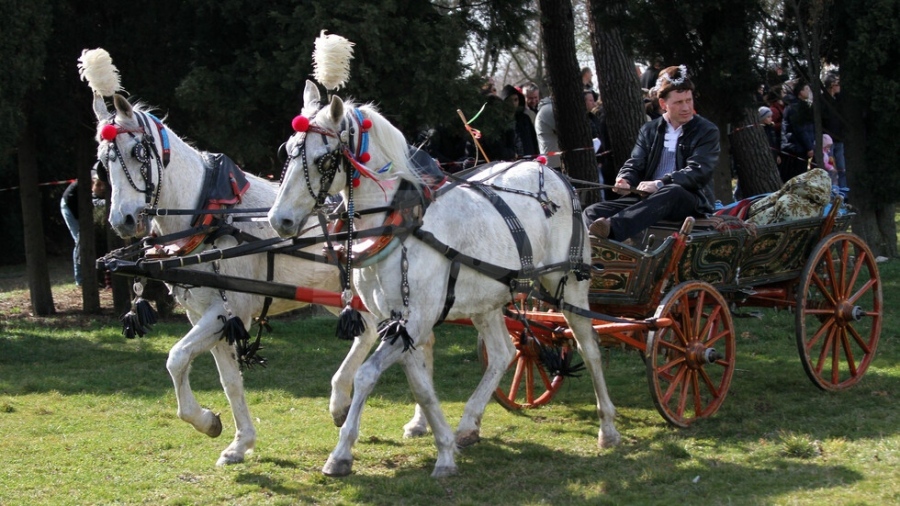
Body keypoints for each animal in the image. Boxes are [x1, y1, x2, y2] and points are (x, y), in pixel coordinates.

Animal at [84, 61, 432, 464]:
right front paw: (234, 438)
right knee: (381, 335)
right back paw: (380, 411)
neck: (210, 216)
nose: (122, 220)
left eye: (138, 152)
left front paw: (206, 420)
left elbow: (175, 357)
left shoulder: (228, 311)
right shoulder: (206, 315)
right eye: (102, 161)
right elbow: (227, 380)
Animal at [268, 81, 620, 476]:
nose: (279, 219)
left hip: (571, 285)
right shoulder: (399, 322)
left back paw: (608, 428)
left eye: (323, 160)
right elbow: (421, 385)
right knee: (503, 351)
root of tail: (551, 170)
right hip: (488, 298)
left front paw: (342, 452)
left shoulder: (416, 319)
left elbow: (367, 375)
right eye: (288, 151)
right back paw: (468, 423)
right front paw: (445, 447)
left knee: (589, 348)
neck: (400, 224)